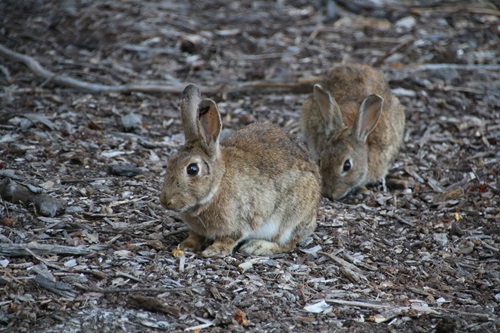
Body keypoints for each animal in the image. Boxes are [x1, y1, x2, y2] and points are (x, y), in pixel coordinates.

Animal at [159, 83, 320, 256]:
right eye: (170, 162)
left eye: (193, 169)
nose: (165, 201)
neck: (218, 184)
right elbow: (196, 235)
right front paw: (187, 245)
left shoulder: (243, 219)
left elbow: (229, 238)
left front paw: (214, 250)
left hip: (290, 220)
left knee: (288, 243)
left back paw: (257, 246)